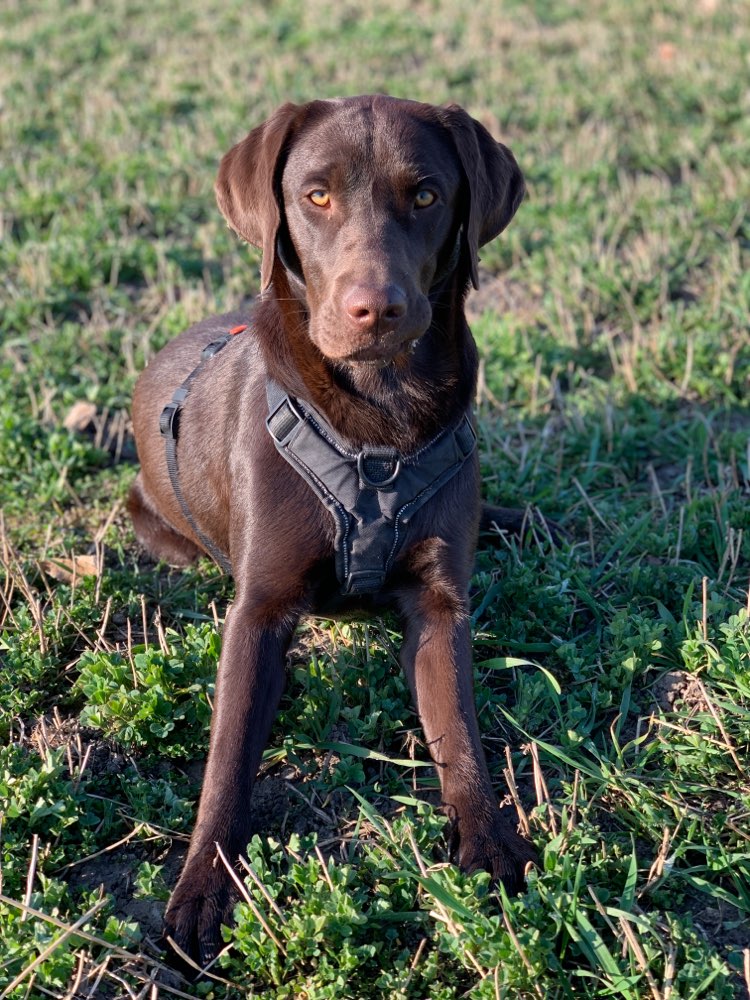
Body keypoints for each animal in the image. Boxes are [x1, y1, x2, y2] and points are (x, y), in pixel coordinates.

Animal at [131, 97, 540, 964]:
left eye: (426, 195)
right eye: (315, 196)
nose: (375, 308)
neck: (379, 424)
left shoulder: (441, 605)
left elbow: (460, 729)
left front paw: (488, 841)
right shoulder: (258, 612)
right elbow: (227, 760)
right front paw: (204, 887)